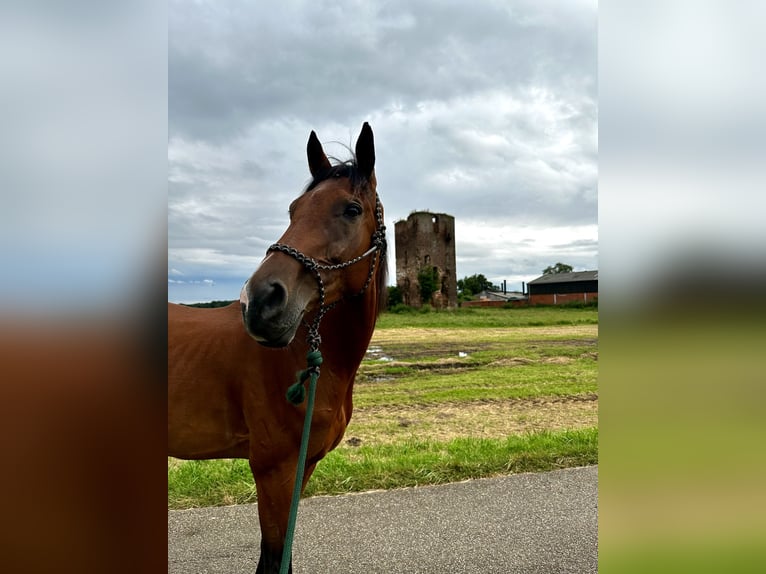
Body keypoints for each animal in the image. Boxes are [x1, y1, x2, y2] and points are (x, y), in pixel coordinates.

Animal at [168, 123, 387, 574]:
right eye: (293, 209)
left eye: (351, 209)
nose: (259, 301)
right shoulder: (273, 471)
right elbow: (273, 559)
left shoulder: (302, 467)